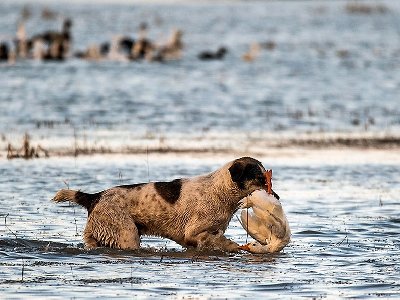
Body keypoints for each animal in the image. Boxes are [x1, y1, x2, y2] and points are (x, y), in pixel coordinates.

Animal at [52, 157, 278, 253]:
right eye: (260, 177)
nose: (276, 196)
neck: (220, 191)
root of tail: (95, 197)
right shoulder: (193, 232)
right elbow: (216, 239)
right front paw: (232, 245)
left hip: (96, 236)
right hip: (127, 235)